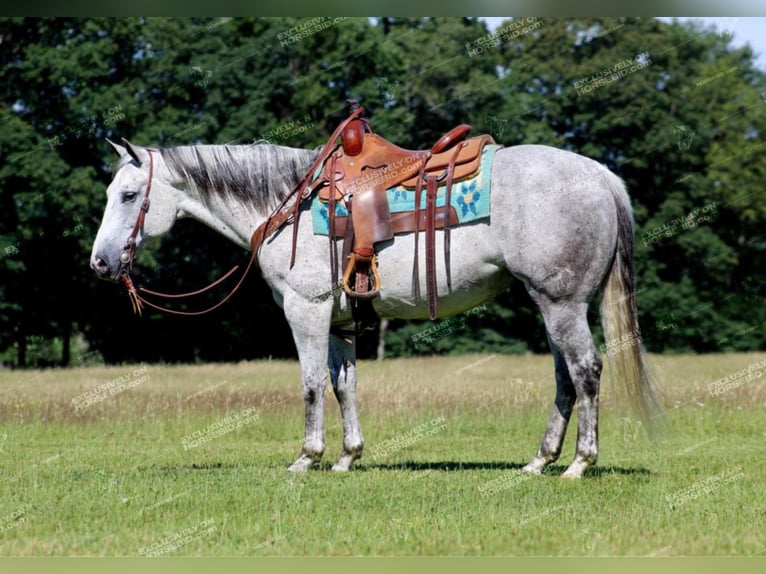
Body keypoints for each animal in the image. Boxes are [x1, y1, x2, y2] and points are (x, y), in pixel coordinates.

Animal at [88, 137, 656, 480]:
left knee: (586, 370)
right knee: (565, 378)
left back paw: (579, 463)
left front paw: (307, 458)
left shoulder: (307, 310)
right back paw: (540, 460)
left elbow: (312, 384)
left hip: (562, 304)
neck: (285, 205)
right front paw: (347, 456)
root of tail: (600, 176)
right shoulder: (339, 321)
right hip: (553, 306)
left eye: (129, 194)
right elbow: (345, 385)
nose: (100, 262)